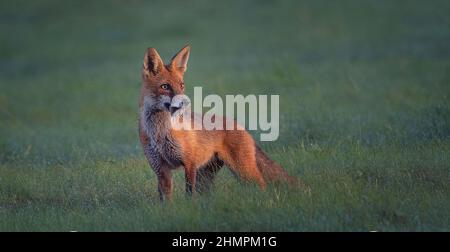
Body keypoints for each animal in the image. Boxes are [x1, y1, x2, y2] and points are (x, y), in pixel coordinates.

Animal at [139, 45, 298, 201]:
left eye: (181, 85)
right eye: (165, 86)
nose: (186, 102)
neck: (159, 132)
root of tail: (240, 125)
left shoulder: (189, 163)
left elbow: (189, 195)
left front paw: (189, 207)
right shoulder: (161, 168)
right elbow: (165, 199)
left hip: (242, 171)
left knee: (261, 184)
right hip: (205, 177)